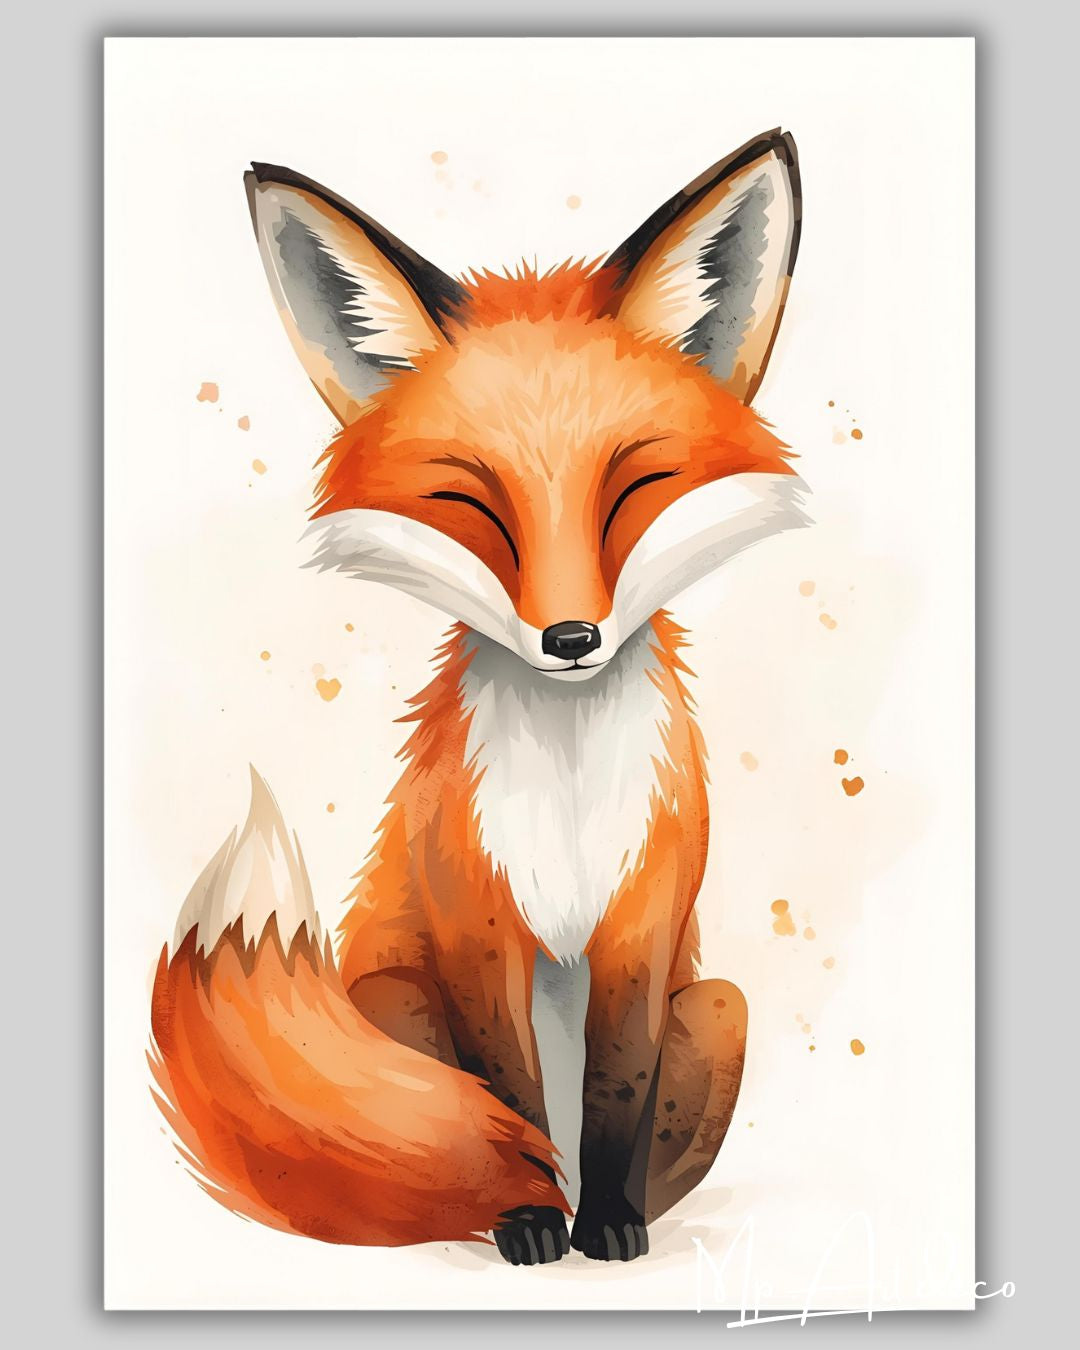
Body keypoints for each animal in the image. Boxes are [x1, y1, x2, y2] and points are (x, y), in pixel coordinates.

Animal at [150, 129, 808, 1266]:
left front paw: (609, 1224)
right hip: (388, 992)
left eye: (632, 493)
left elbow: (616, 1093)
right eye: (471, 504)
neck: (572, 781)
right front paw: (533, 1221)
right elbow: (509, 1092)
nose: (572, 640)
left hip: (721, 1007)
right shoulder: (472, 922)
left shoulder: (643, 927)